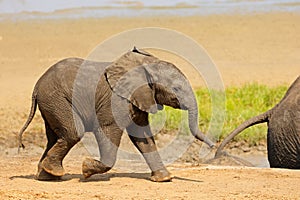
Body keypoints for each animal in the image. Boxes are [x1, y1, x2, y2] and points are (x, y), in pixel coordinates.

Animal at [18, 47, 213, 182]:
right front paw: (86, 169)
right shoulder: (115, 100)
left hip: (52, 103)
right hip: (56, 99)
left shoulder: (137, 98)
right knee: (73, 133)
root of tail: (37, 86)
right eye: (177, 89)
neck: (143, 65)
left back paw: (47, 176)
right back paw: (55, 172)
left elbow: (143, 137)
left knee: (54, 137)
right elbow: (108, 130)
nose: (212, 146)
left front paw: (164, 178)